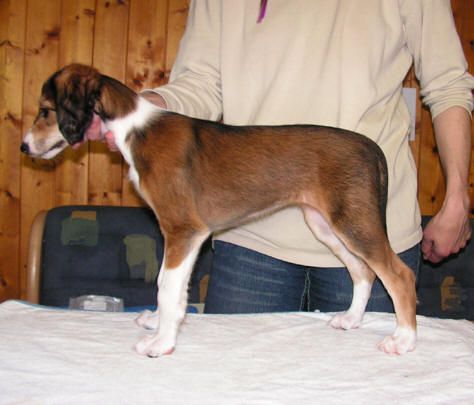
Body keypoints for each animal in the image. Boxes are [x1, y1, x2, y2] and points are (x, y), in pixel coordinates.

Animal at [21, 64, 417, 356]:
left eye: (46, 111)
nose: (24, 147)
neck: (135, 127)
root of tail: (370, 145)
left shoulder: (183, 230)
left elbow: (167, 285)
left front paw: (161, 342)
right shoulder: (183, 237)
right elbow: (172, 286)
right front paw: (160, 324)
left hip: (354, 222)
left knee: (399, 274)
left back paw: (404, 340)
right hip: (327, 225)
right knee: (363, 272)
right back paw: (351, 319)